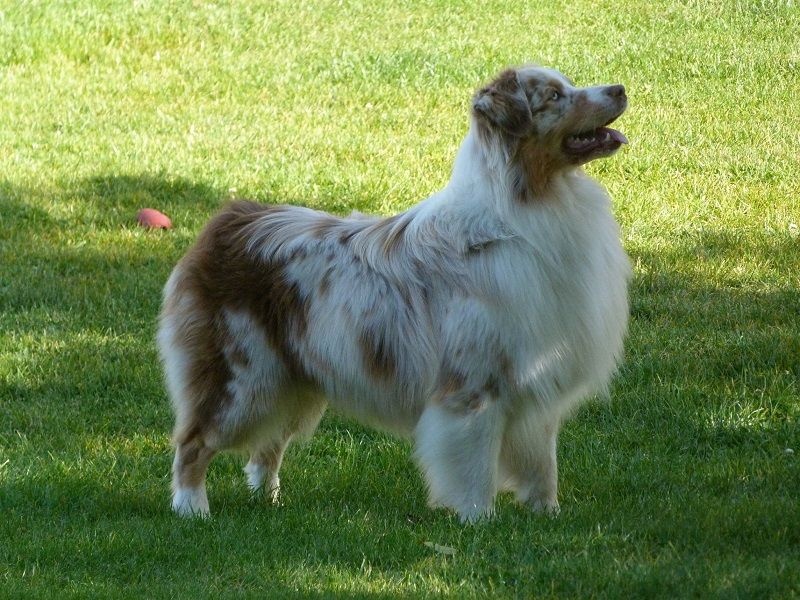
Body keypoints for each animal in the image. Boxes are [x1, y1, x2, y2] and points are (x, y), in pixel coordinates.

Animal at [156, 62, 632, 520]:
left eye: (568, 83)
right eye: (554, 96)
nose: (620, 88)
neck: (531, 205)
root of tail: (227, 220)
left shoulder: (536, 377)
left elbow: (542, 464)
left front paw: (548, 516)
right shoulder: (473, 388)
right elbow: (475, 466)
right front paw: (479, 523)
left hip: (295, 382)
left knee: (266, 450)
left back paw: (269, 504)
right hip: (242, 379)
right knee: (193, 442)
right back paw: (192, 510)